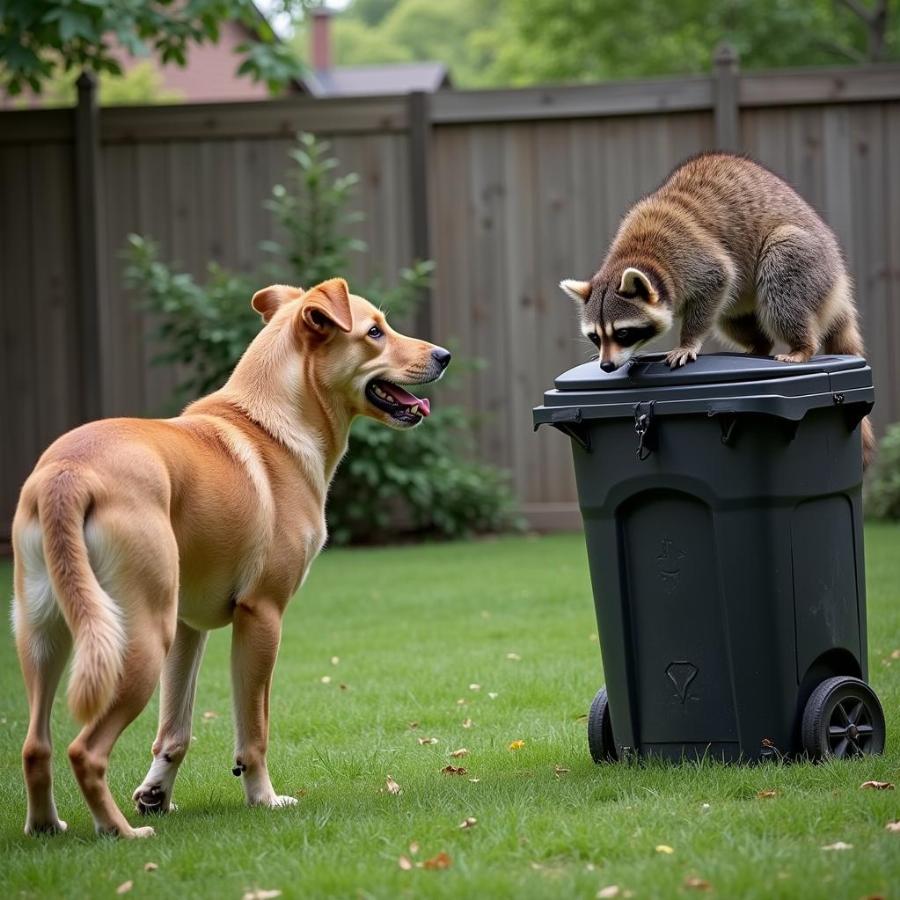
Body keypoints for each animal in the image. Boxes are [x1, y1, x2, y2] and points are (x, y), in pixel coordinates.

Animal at [14, 280, 450, 836]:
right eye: (375, 331)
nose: (444, 355)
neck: (271, 424)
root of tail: (69, 471)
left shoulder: (189, 627)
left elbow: (174, 729)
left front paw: (156, 795)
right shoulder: (261, 617)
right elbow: (254, 730)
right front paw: (263, 798)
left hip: (46, 637)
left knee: (35, 746)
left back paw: (47, 826)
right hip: (139, 640)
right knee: (84, 751)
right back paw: (122, 832)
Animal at [560, 149, 876, 464]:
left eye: (623, 333)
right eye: (596, 337)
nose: (606, 366)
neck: (638, 254)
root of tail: (838, 277)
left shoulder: (692, 257)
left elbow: (720, 277)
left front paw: (688, 341)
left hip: (806, 259)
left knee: (780, 280)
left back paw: (801, 346)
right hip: (749, 298)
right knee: (732, 318)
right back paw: (757, 346)